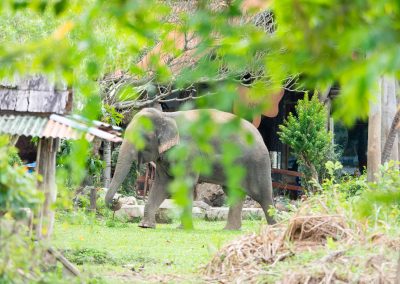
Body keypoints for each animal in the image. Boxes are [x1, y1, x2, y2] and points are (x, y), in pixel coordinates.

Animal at [104, 107, 276, 230]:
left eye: (142, 137)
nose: (116, 202)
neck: (166, 115)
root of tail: (260, 136)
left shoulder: (188, 152)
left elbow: (185, 183)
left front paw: (183, 229)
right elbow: (161, 184)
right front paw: (145, 226)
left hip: (256, 162)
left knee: (262, 194)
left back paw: (274, 228)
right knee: (234, 192)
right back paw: (230, 230)